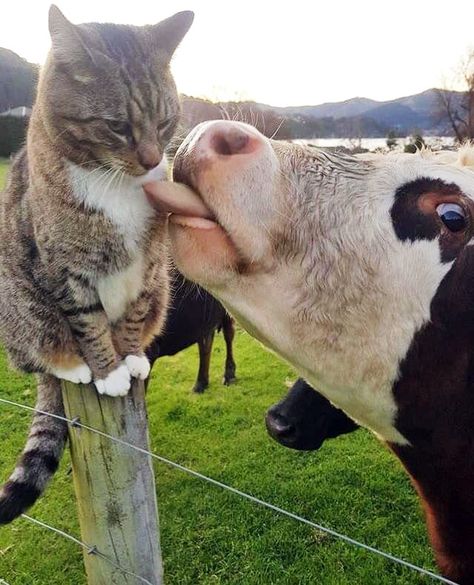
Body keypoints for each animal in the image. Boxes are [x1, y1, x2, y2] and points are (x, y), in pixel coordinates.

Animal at [0, 4, 194, 524]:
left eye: (165, 121)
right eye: (116, 126)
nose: (151, 159)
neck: (114, 183)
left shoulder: (148, 267)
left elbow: (130, 316)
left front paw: (129, 357)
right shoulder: (64, 271)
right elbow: (87, 322)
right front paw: (108, 372)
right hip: (17, 303)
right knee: (38, 354)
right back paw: (71, 367)